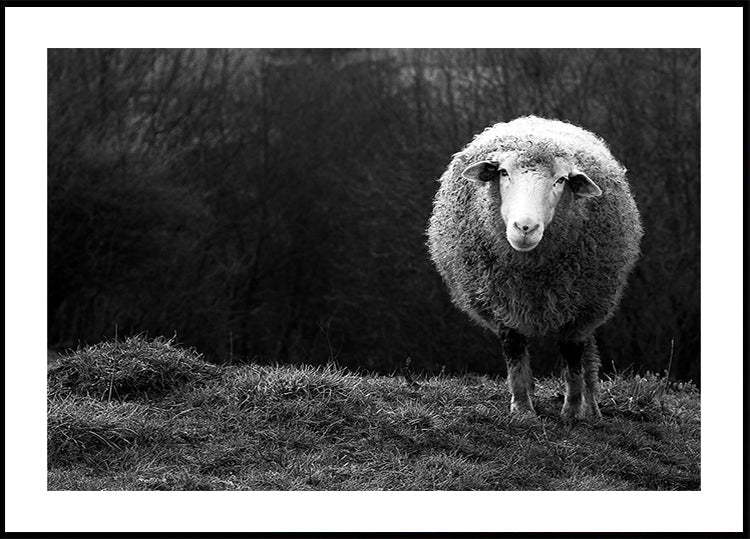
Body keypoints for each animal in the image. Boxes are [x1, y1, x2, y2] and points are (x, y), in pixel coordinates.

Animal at [427, 116, 643, 420]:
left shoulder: (582, 308)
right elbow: (515, 351)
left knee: (588, 355)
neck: (532, 274)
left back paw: (592, 407)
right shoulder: (502, 304)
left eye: (561, 180)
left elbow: (573, 355)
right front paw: (522, 409)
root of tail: (536, 120)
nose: (525, 227)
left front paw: (572, 411)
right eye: (503, 172)